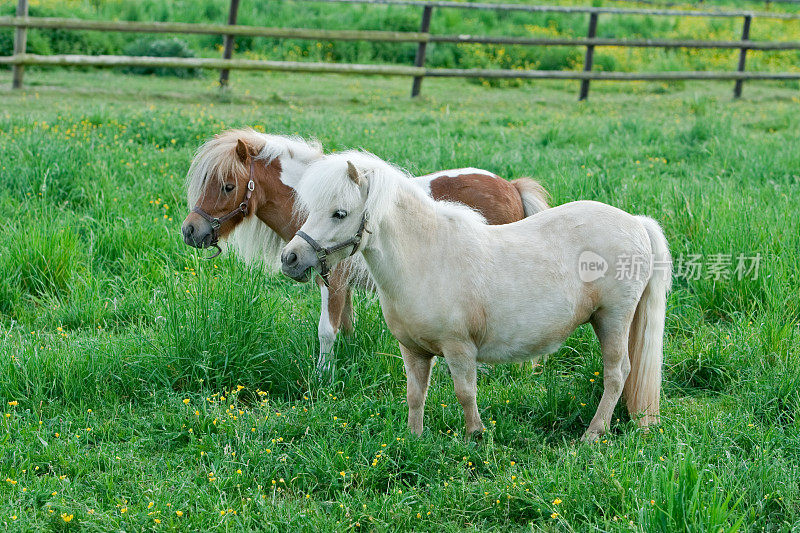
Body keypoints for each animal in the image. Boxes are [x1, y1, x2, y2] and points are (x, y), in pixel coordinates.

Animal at [178, 128, 548, 370]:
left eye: (228, 186)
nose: (190, 231)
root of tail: (512, 186)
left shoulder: (334, 281)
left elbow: (326, 331)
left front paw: (321, 378)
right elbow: (345, 328)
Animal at [282, 151, 668, 440]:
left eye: (340, 213)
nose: (290, 259)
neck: (426, 259)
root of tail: (636, 222)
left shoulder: (459, 349)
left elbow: (465, 393)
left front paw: (474, 436)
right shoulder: (413, 350)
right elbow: (415, 395)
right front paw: (414, 438)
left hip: (613, 318)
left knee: (617, 373)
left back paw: (593, 433)